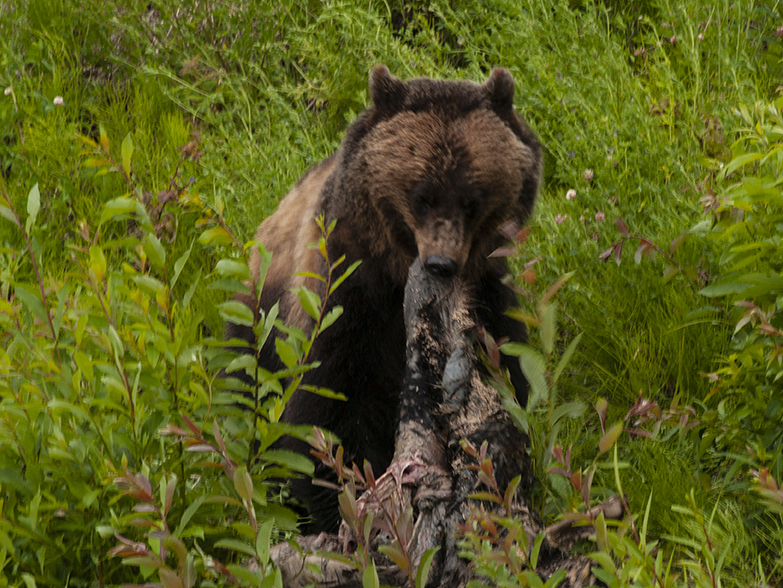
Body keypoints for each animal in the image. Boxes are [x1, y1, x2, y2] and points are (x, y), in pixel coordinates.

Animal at [228, 64, 540, 532]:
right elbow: (331, 404)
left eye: (472, 199)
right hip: (256, 324)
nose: (442, 263)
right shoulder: (345, 294)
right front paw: (341, 496)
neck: (397, 275)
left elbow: (507, 375)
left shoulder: (487, 293)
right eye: (422, 195)